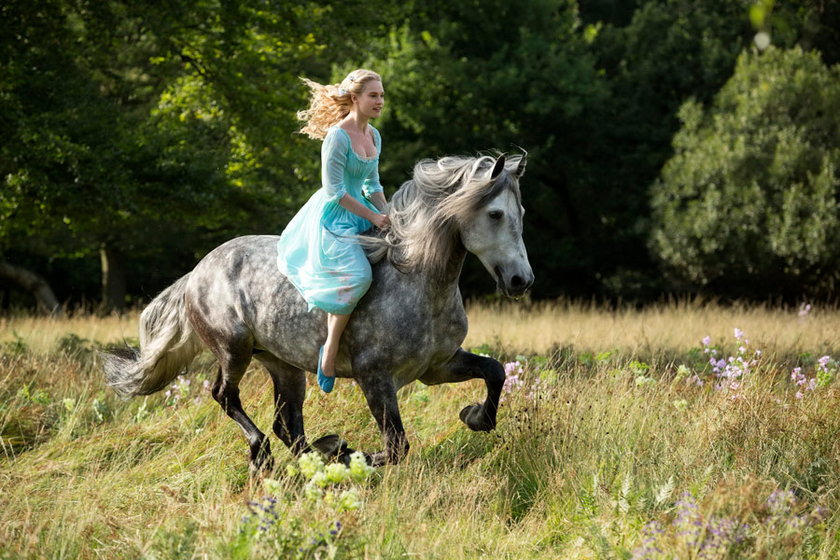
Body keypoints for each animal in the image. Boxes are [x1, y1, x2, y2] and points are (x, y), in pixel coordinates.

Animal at [103, 152, 532, 468]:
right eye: (495, 214)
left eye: (521, 214)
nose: (521, 281)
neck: (417, 281)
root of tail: (196, 272)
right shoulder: (375, 378)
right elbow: (395, 446)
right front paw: (349, 454)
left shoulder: (437, 367)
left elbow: (494, 371)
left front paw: (475, 417)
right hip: (233, 349)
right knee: (227, 398)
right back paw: (270, 453)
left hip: (283, 365)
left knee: (287, 426)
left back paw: (317, 451)